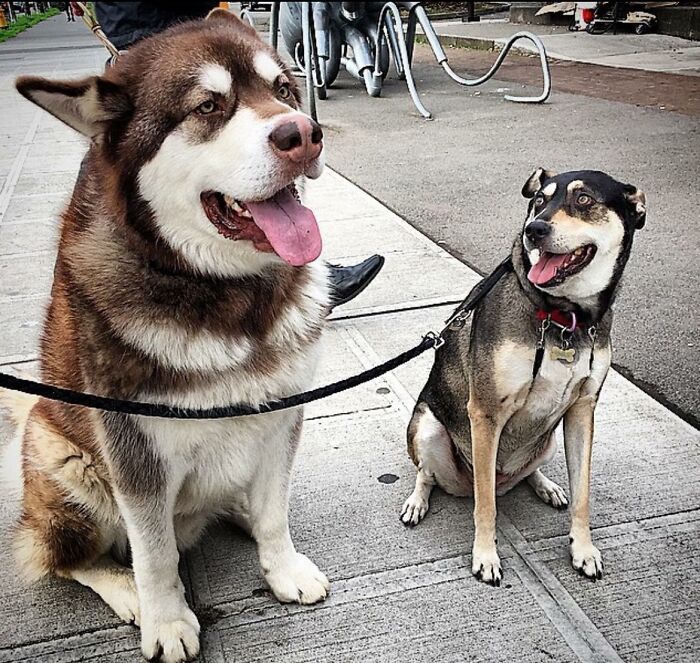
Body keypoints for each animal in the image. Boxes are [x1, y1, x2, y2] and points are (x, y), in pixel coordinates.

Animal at [402, 170, 648, 588]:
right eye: (538, 202)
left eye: (584, 199)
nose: (534, 229)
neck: (564, 316)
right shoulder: (485, 413)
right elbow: (485, 505)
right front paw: (486, 556)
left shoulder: (582, 411)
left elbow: (582, 494)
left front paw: (583, 550)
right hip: (429, 429)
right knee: (429, 475)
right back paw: (417, 501)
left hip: (546, 441)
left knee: (527, 471)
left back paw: (545, 486)